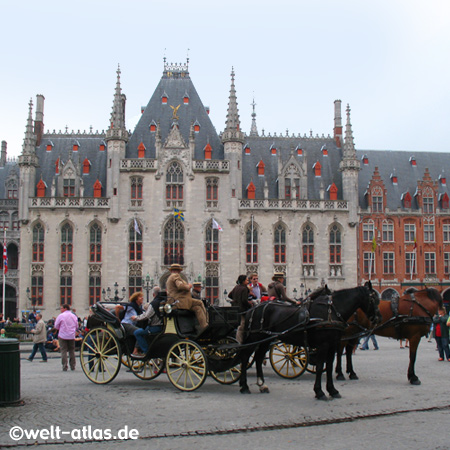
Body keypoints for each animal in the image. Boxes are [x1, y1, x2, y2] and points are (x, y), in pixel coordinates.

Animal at [239, 284, 380, 400]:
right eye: (373, 299)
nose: (378, 318)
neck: (331, 312)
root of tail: (251, 310)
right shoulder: (323, 345)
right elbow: (320, 366)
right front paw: (319, 392)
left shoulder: (332, 345)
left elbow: (329, 366)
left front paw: (332, 390)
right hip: (255, 337)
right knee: (245, 355)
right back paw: (244, 386)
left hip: (265, 339)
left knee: (258, 357)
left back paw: (262, 385)